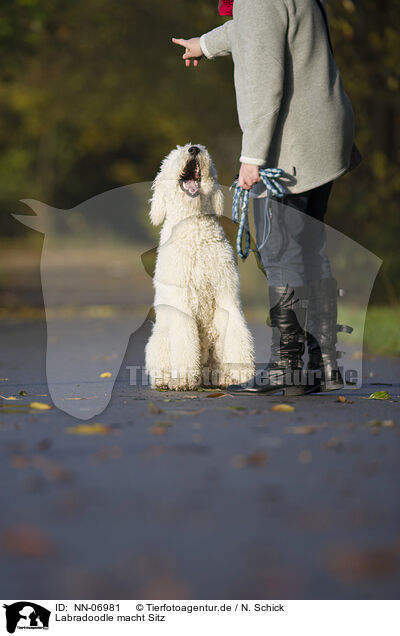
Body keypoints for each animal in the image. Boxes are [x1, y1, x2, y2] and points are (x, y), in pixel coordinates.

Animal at [145, 143, 255, 390]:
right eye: (175, 154)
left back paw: (223, 379)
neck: (193, 225)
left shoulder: (226, 292)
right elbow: (185, 341)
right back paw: (166, 379)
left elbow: (237, 330)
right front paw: (184, 379)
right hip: (159, 339)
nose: (194, 149)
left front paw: (242, 371)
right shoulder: (180, 302)